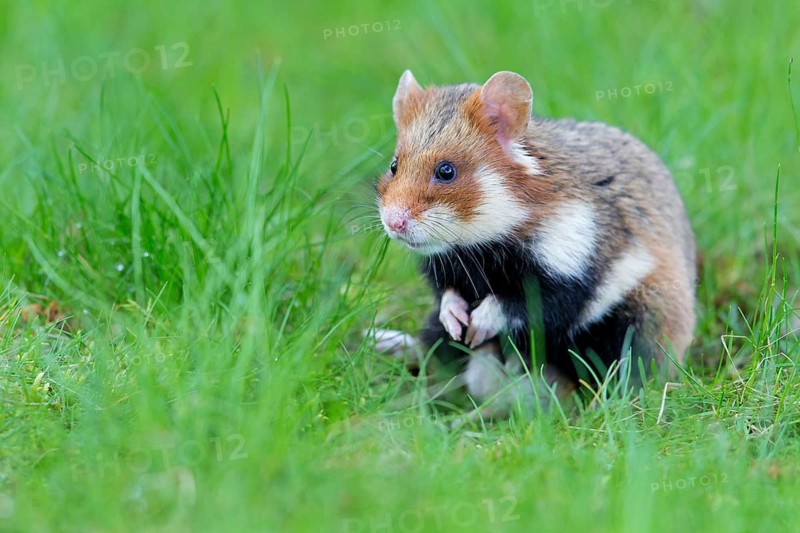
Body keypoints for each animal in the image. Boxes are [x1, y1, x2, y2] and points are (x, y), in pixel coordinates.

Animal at [375, 70, 696, 416]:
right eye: (394, 165)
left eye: (446, 171)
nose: (393, 223)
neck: (485, 239)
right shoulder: (446, 266)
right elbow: (447, 295)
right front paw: (458, 321)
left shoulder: (570, 275)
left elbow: (519, 305)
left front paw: (477, 327)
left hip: (638, 319)